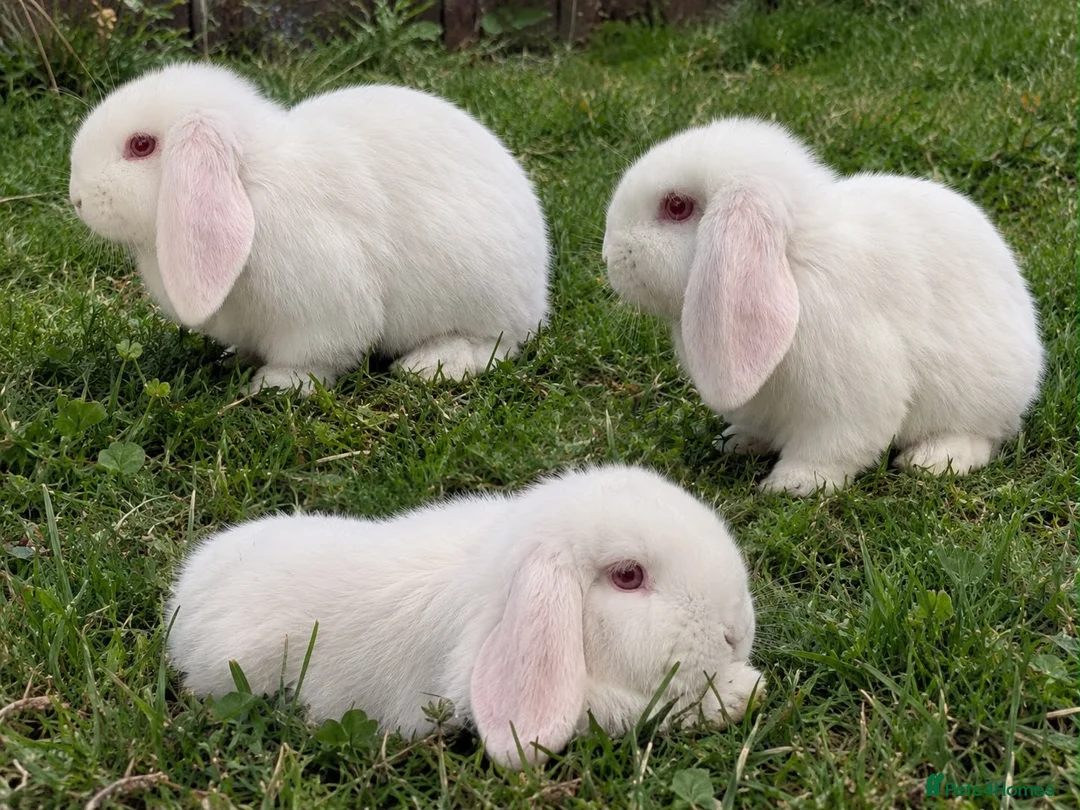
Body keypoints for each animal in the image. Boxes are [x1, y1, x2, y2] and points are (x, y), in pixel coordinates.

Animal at [68, 62, 550, 393]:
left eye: (141, 145)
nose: (77, 198)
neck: (251, 187)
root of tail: (539, 294)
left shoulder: (321, 313)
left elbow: (315, 356)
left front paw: (275, 385)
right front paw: (234, 360)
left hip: (480, 301)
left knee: (496, 344)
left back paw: (432, 365)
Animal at [603, 117, 1045, 495]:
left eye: (676, 206)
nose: (609, 255)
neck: (793, 265)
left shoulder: (846, 401)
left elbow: (832, 449)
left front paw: (792, 485)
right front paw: (737, 442)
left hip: (979, 397)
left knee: (983, 436)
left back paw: (931, 459)